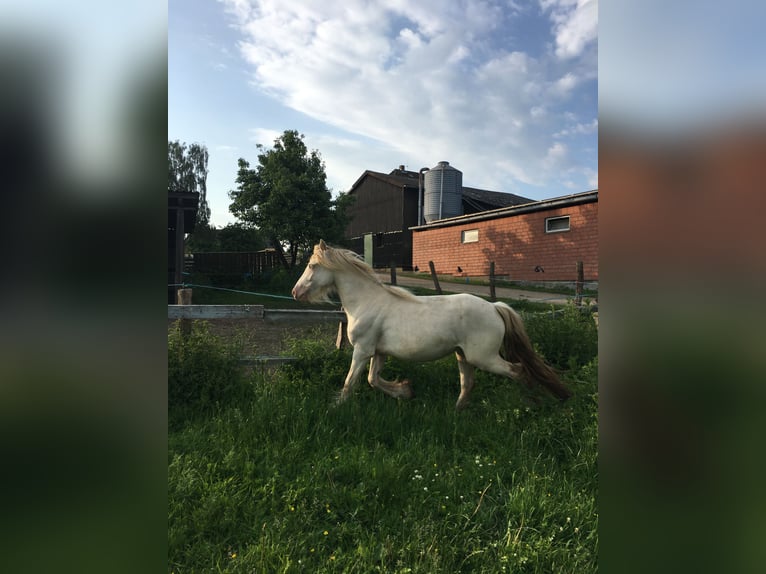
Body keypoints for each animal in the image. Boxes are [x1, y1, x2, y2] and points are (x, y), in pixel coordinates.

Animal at [292, 242, 572, 410]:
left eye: (312, 265)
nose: (295, 292)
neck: (366, 301)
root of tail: (494, 307)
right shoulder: (378, 352)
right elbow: (373, 379)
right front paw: (405, 391)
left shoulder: (362, 351)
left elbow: (351, 382)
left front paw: (336, 408)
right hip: (463, 356)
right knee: (468, 384)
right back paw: (456, 413)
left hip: (484, 358)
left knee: (518, 371)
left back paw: (532, 404)